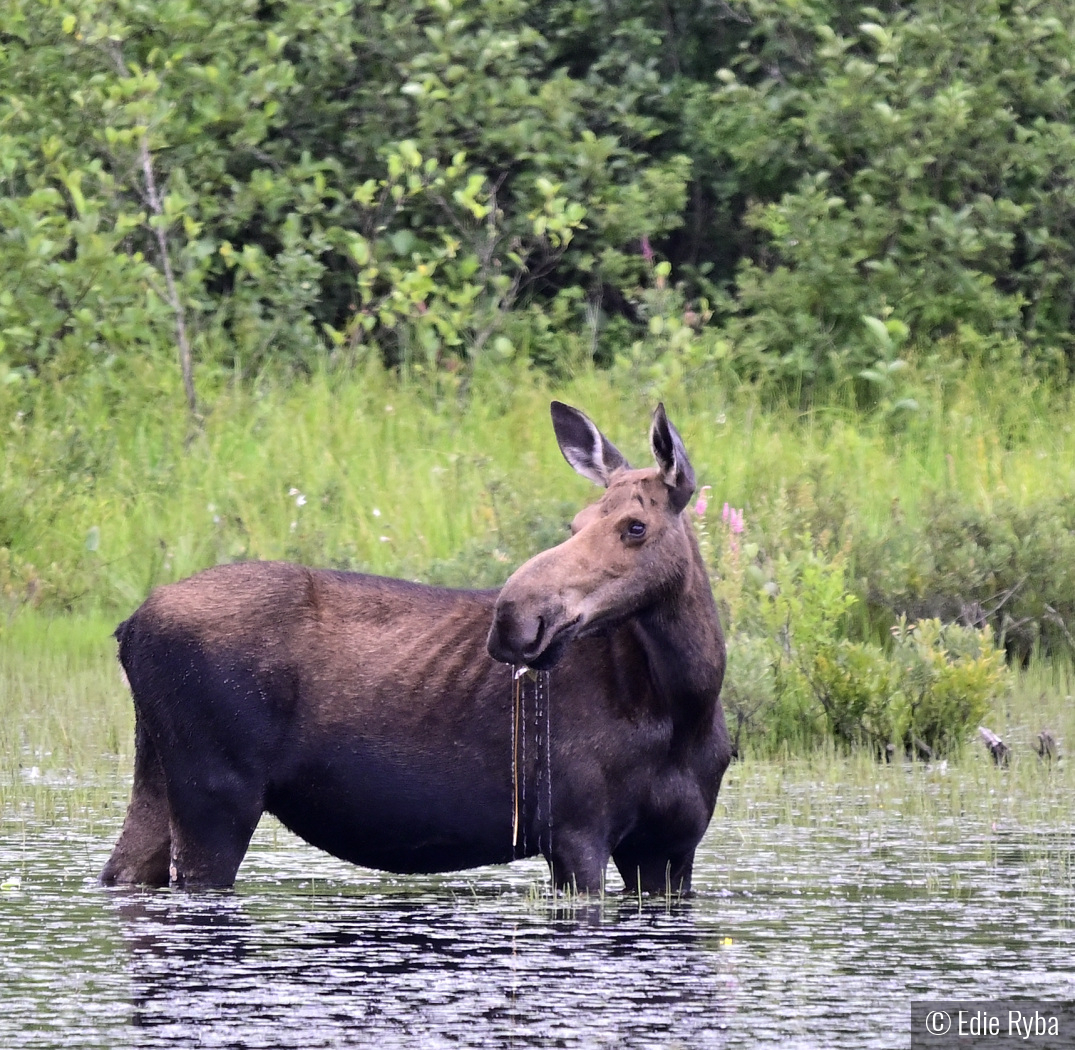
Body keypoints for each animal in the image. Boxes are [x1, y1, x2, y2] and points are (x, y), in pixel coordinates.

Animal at [102, 401, 731, 894]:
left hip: (158, 767)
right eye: (575, 523)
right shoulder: (575, 831)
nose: (514, 618)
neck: (686, 703)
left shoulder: (673, 848)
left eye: (634, 526)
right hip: (216, 789)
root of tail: (129, 627)